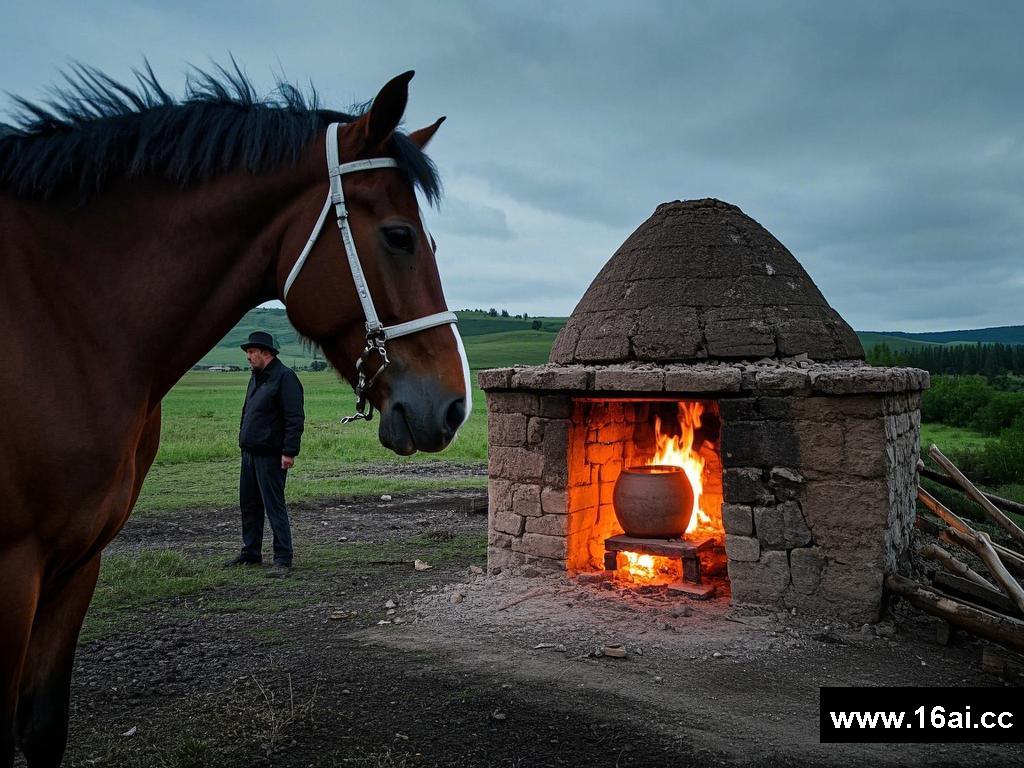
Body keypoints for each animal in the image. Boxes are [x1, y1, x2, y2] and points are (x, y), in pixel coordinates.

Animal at [0, 64, 471, 768]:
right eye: (399, 236)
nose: (455, 404)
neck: (61, 317)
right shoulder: (13, 572)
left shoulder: (76, 564)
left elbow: (41, 726)